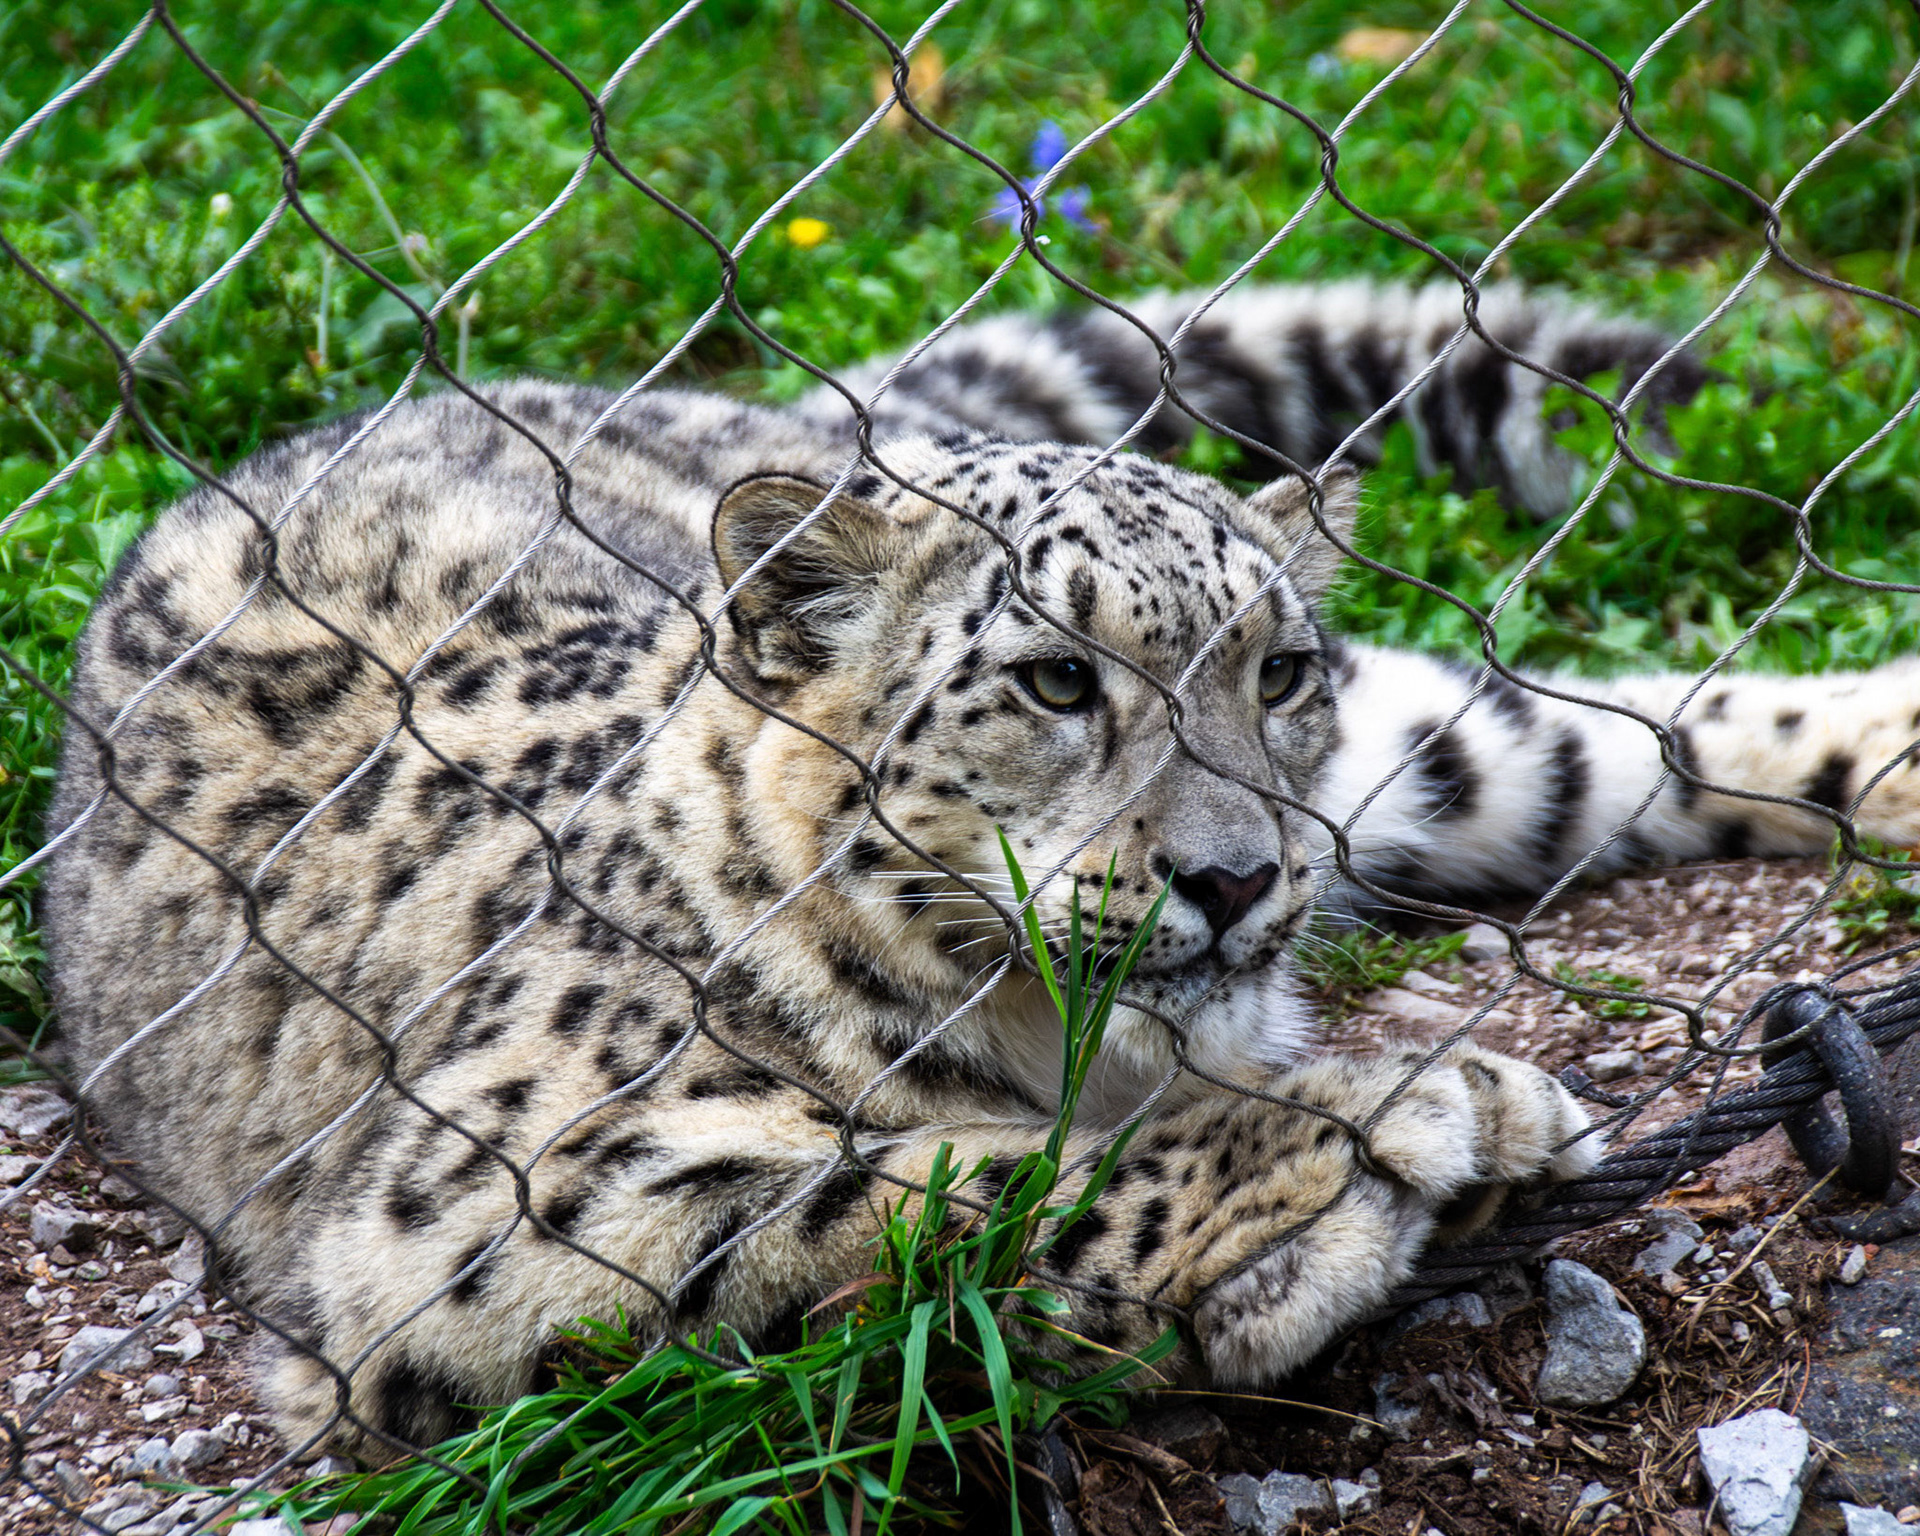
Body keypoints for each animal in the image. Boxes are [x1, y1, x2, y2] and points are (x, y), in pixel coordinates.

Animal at [39, 280, 1920, 1457]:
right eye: (1055, 681)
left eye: (1276, 671)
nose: (1236, 878)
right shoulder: (476, 1210)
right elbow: (898, 1188)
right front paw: (1371, 1139)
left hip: (1411, 759)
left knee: (1594, 727)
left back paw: (1892, 738)